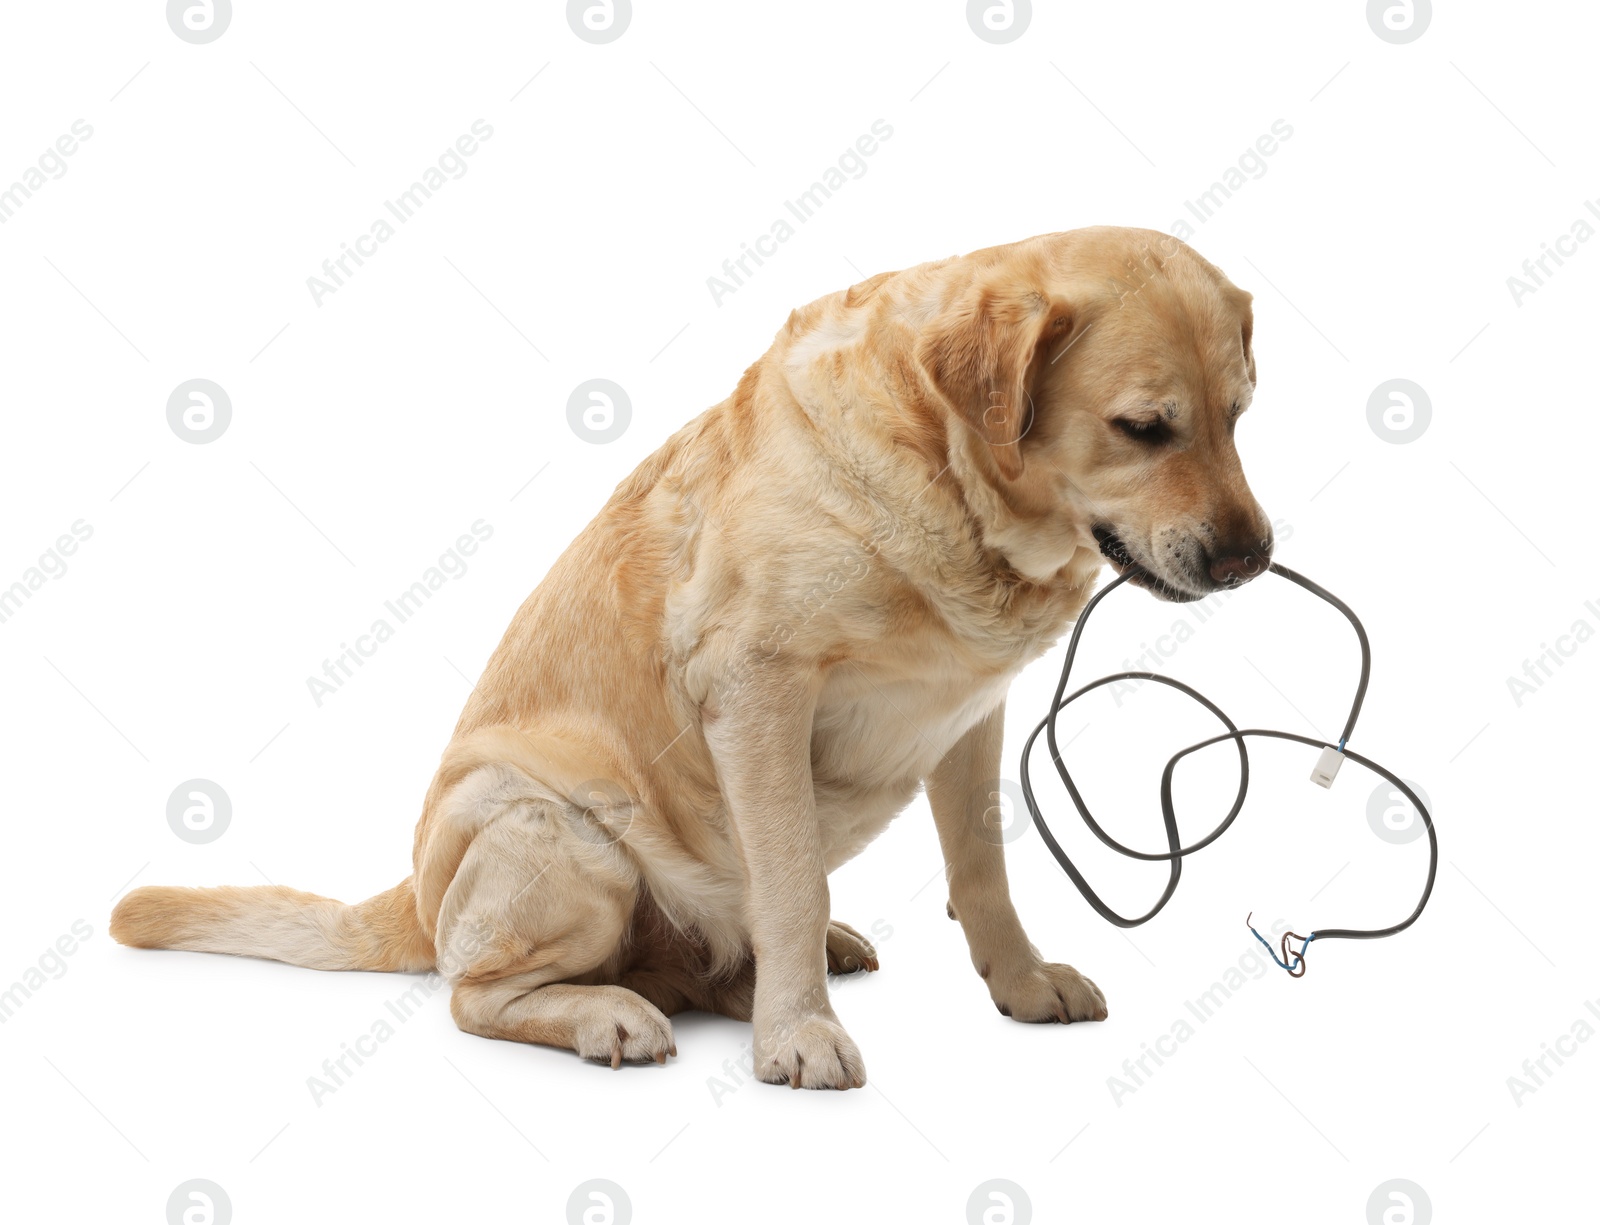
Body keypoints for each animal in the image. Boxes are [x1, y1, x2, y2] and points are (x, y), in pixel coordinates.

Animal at [109, 225, 1273, 1087]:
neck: (950, 485)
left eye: (1239, 415)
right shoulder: (757, 688)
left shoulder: (969, 716)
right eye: (1143, 428)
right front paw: (797, 1034)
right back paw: (610, 1012)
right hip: (559, 832)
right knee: (473, 991)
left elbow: (981, 868)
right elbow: (791, 874)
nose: (1253, 559)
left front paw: (1019, 982)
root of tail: (412, 891)